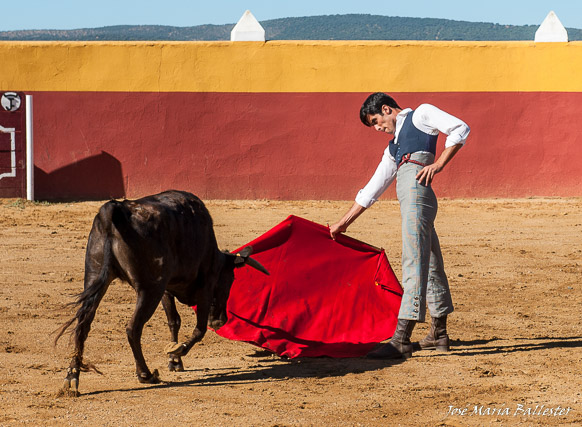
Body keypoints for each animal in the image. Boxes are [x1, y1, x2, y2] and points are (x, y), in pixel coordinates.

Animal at [54, 192, 270, 396]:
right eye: (230, 280)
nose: (220, 321)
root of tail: (114, 210)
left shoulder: (166, 289)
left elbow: (174, 321)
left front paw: (174, 360)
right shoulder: (204, 289)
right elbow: (199, 330)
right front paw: (177, 351)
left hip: (95, 276)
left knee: (83, 326)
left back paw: (72, 378)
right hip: (149, 289)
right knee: (133, 328)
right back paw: (146, 374)